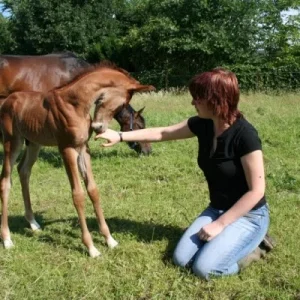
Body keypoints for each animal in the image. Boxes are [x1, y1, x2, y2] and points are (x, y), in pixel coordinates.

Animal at [0, 63, 155, 258]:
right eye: (122, 104)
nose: (99, 127)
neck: (75, 104)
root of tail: (7, 100)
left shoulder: (83, 148)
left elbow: (93, 190)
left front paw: (109, 239)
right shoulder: (67, 149)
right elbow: (78, 195)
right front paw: (91, 247)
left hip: (34, 143)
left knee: (24, 171)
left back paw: (33, 223)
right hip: (12, 142)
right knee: (6, 181)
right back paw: (7, 239)